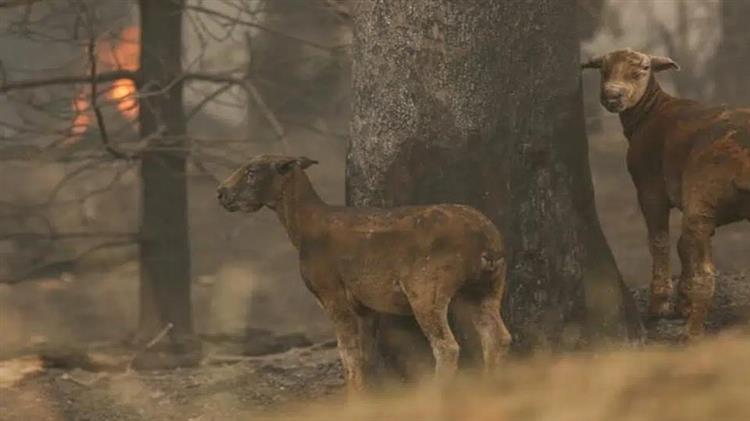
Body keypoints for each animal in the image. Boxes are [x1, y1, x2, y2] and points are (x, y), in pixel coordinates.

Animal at [214, 154, 516, 390]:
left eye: (252, 171)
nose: (220, 193)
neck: (303, 229)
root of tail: (487, 242)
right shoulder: (366, 305)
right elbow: (365, 356)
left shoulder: (331, 293)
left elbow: (348, 353)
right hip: (486, 287)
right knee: (498, 337)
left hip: (426, 289)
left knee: (447, 346)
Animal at [584, 48, 750, 338]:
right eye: (603, 69)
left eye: (643, 69)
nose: (612, 95)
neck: (652, 110)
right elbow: (683, 246)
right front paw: (682, 302)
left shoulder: (650, 187)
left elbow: (659, 241)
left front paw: (659, 305)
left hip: (701, 198)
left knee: (706, 274)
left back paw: (692, 334)